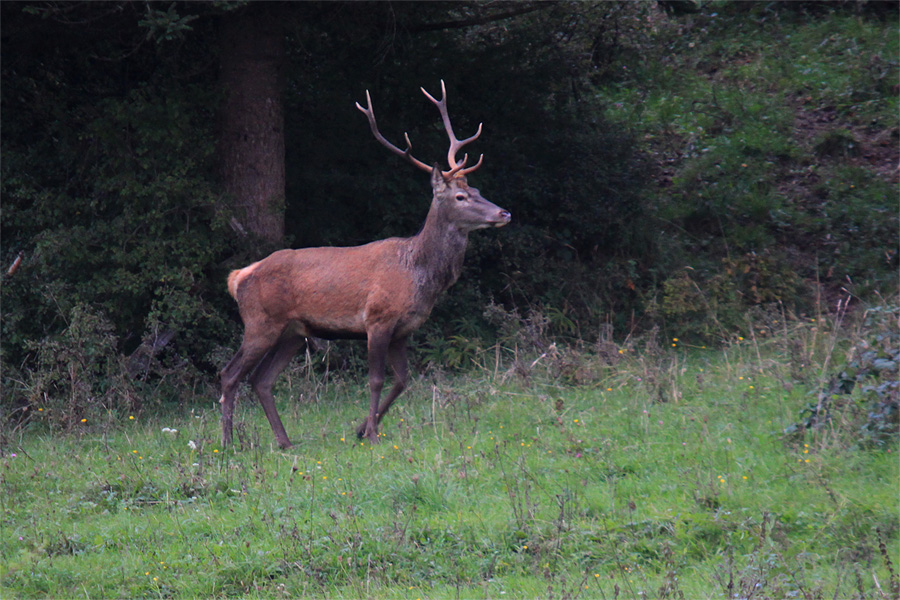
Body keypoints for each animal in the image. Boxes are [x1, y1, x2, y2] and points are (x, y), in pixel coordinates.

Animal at [221, 79, 510, 448]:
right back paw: (228, 443)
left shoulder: (404, 328)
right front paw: (371, 433)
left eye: (477, 190)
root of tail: (238, 277)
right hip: (259, 322)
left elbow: (403, 380)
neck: (418, 274)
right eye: (461, 197)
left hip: (292, 332)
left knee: (261, 379)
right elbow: (376, 380)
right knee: (229, 375)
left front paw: (361, 428)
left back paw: (284, 442)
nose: (504, 213)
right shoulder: (377, 319)